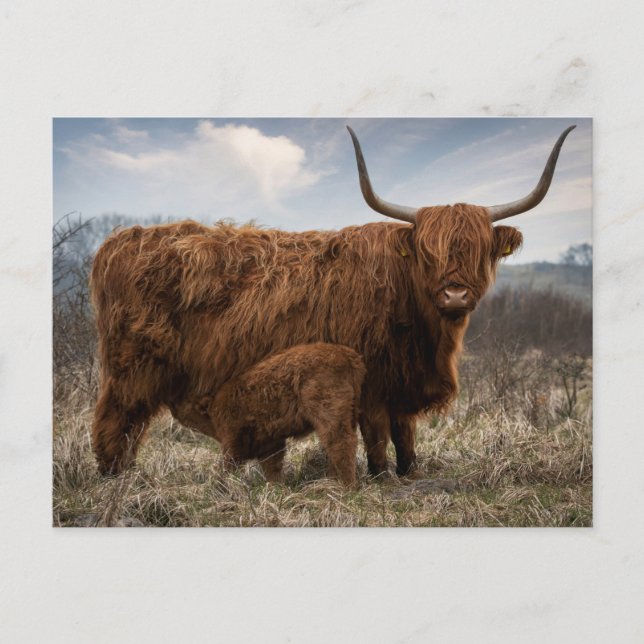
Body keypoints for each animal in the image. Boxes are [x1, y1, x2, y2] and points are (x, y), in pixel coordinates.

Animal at [90, 124, 575, 480]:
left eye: (478, 251)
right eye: (427, 252)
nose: (454, 294)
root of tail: (119, 239)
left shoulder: (403, 380)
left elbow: (406, 435)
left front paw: (409, 472)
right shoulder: (372, 378)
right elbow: (377, 433)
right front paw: (380, 476)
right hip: (132, 367)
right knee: (115, 421)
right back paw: (116, 478)